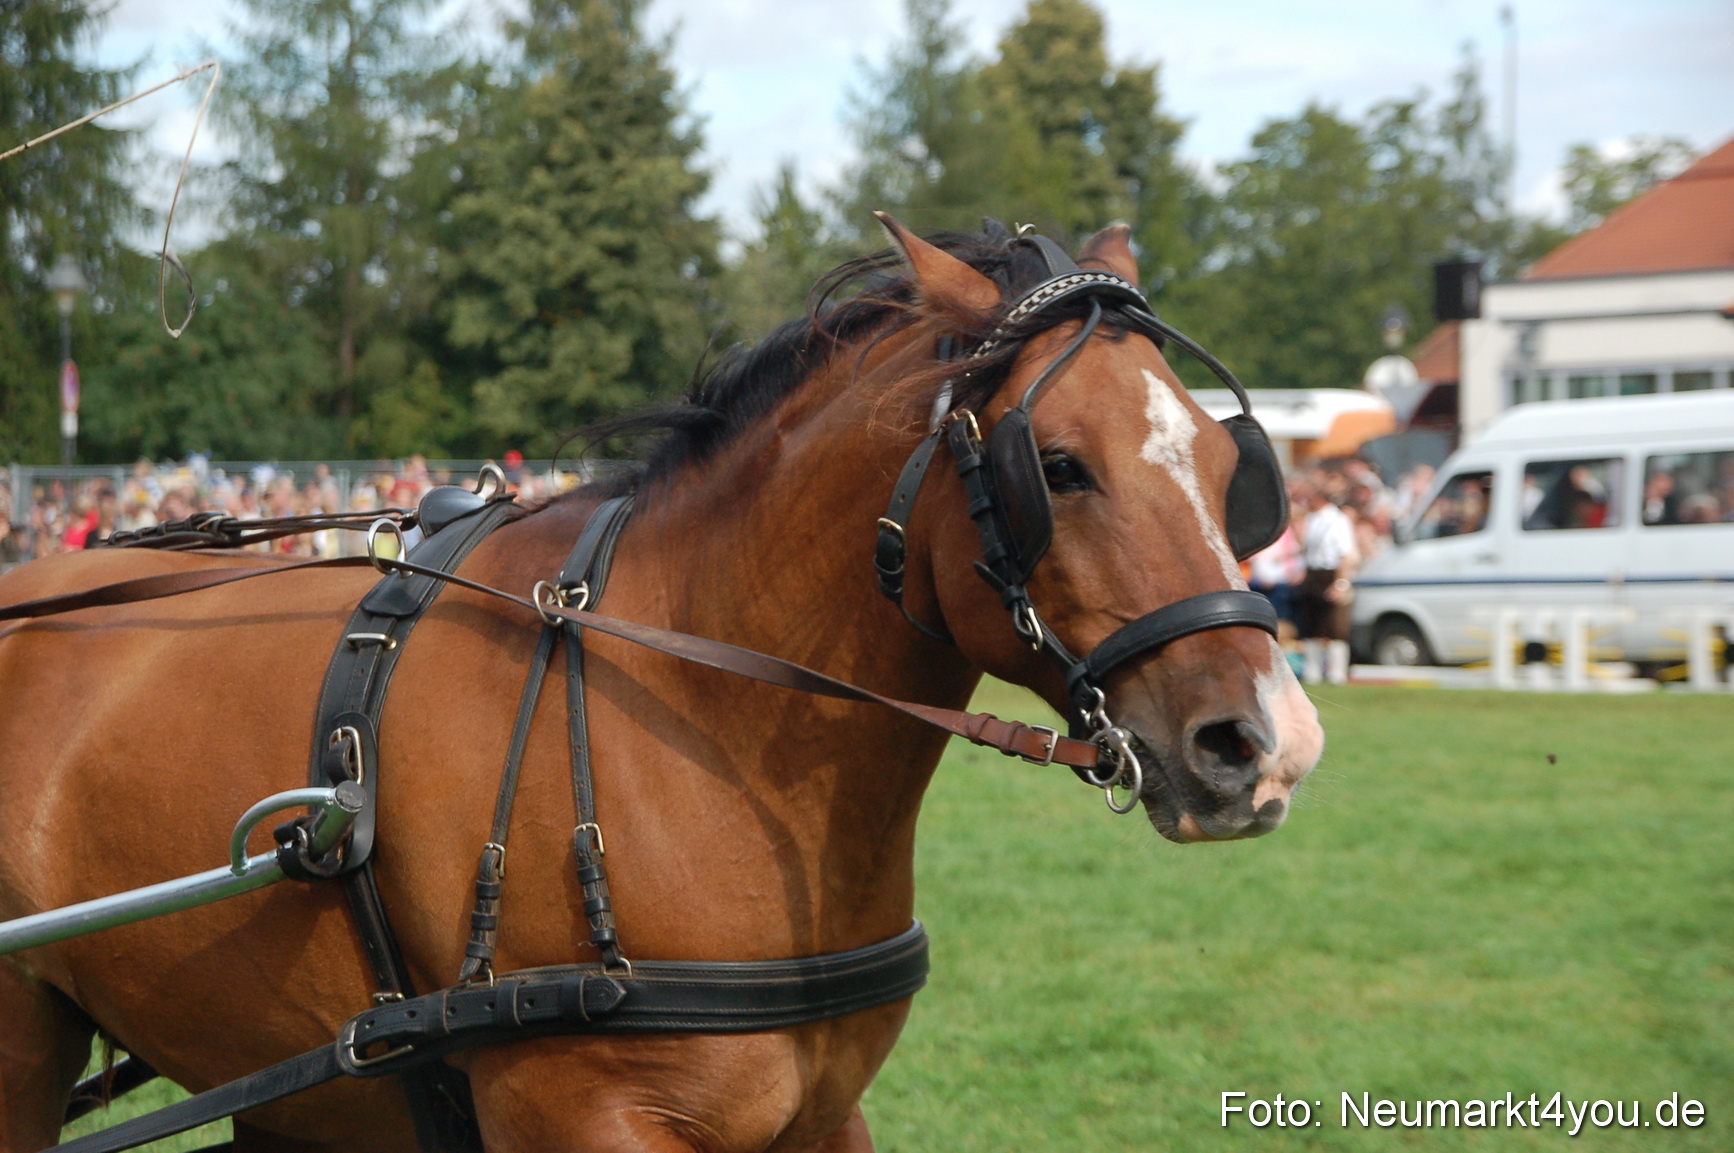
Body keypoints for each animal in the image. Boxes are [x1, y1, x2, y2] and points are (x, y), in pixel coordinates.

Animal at [0, 217, 1323, 1152]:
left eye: (1228, 464)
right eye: (1056, 466)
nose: (1268, 742)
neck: (709, 715)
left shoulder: (818, 1118)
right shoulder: (577, 1114)